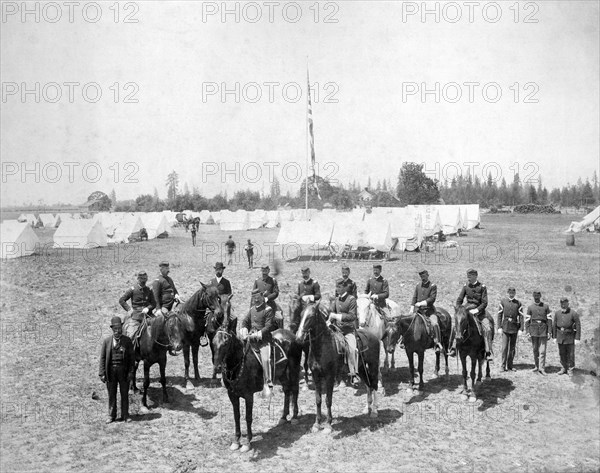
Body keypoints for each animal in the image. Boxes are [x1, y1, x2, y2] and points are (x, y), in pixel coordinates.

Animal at [212, 300, 304, 452]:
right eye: (213, 342)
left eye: (226, 342)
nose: (217, 368)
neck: (238, 365)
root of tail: (293, 336)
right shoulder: (232, 395)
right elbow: (236, 416)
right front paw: (236, 440)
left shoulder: (249, 395)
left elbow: (248, 417)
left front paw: (248, 442)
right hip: (282, 375)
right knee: (287, 390)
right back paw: (283, 417)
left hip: (294, 370)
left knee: (294, 389)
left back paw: (295, 417)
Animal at [296, 300, 380, 434]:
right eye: (301, 315)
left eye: (310, 316)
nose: (298, 337)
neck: (323, 346)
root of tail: (374, 337)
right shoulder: (316, 376)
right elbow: (318, 400)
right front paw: (317, 424)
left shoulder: (329, 377)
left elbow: (328, 400)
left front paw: (328, 425)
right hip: (361, 369)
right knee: (369, 385)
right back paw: (367, 408)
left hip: (373, 366)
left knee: (374, 384)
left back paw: (375, 411)